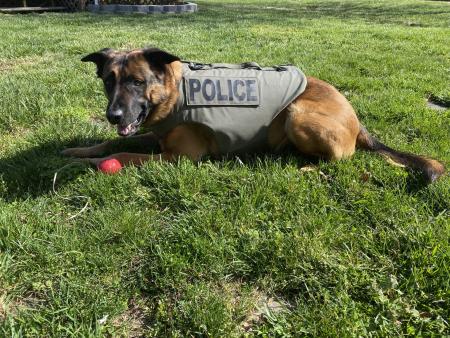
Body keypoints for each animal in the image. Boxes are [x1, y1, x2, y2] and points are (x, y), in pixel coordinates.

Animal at [61, 47, 444, 182]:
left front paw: (85, 164)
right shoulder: (151, 136)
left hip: (297, 113)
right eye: (108, 81)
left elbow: (122, 153)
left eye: (138, 82)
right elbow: (110, 142)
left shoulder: (176, 158)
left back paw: (307, 166)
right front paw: (78, 151)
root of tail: (357, 119)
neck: (174, 91)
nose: (113, 114)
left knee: (342, 157)